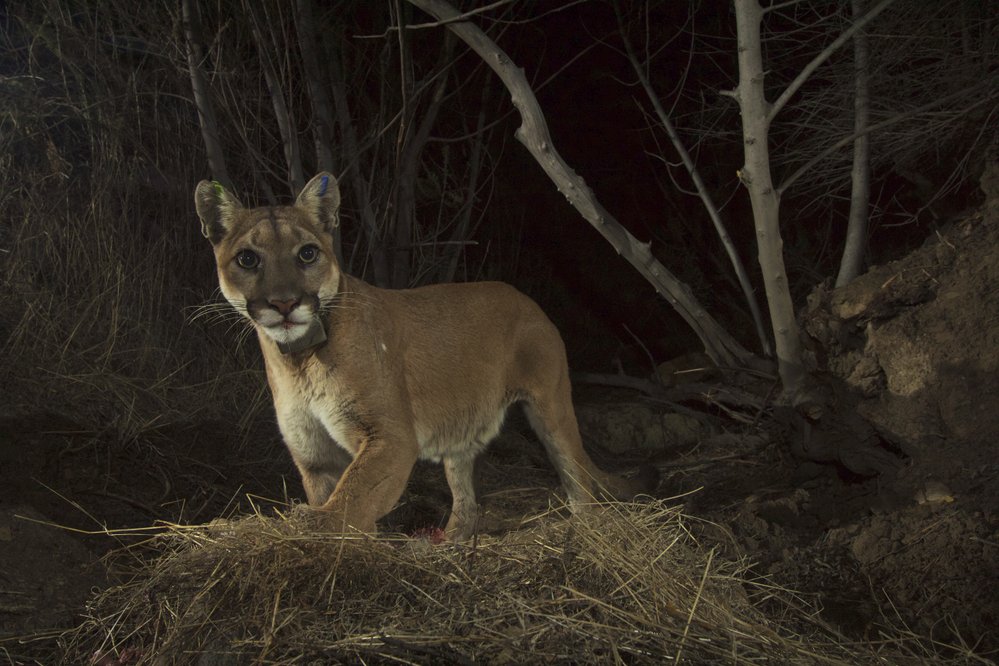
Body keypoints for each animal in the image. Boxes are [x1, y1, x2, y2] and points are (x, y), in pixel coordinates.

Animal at [194, 172, 656, 540]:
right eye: (248, 259)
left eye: (307, 253)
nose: (284, 303)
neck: (299, 360)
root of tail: (526, 299)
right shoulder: (313, 454)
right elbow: (342, 497)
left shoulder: (391, 437)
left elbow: (352, 497)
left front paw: (316, 528)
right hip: (461, 432)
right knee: (466, 499)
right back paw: (448, 542)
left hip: (551, 406)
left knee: (577, 475)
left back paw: (587, 531)